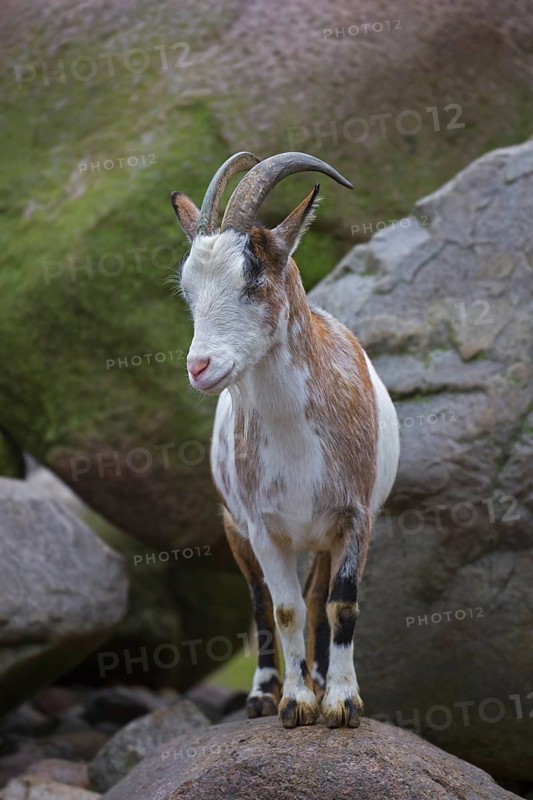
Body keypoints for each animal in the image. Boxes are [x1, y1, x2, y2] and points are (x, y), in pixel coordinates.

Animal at [171, 152, 400, 728]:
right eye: (188, 289)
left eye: (252, 278)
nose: (200, 367)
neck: (297, 439)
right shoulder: (262, 526)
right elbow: (284, 608)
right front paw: (295, 703)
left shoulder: (355, 517)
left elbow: (340, 603)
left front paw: (340, 702)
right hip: (235, 526)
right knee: (260, 603)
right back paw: (262, 694)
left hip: (321, 537)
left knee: (320, 597)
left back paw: (319, 679)